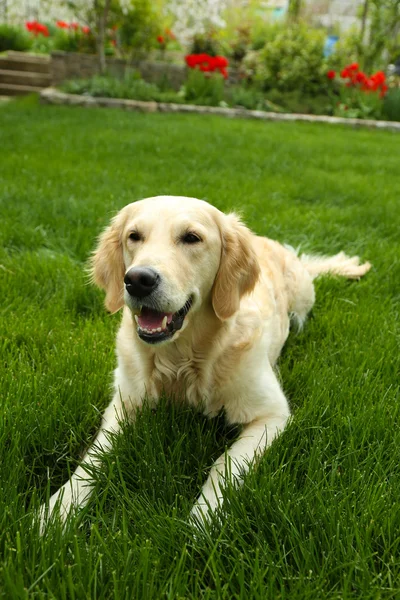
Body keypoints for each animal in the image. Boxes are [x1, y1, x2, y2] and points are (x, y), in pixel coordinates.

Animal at [39, 195, 370, 528]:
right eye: (134, 236)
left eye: (191, 238)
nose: (137, 280)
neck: (181, 358)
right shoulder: (123, 402)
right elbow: (93, 458)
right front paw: (56, 510)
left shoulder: (272, 415)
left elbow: (224, 465)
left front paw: (201, 521)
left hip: (303, 300)